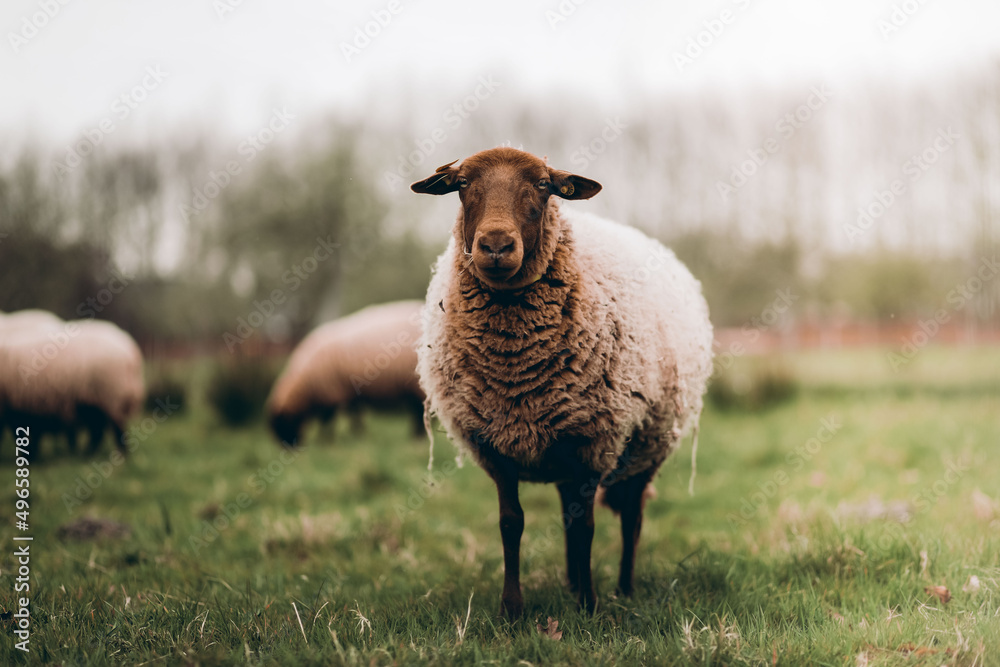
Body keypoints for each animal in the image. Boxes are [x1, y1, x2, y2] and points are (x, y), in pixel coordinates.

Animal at [267, 300, 426, 448]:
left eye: (282, 424)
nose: (289, 449)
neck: (306, 383)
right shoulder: (350, 393)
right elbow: (354, 417)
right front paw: (359, 437)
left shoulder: (329, 393)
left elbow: (327, 421)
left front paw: (326, 442)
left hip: (417, 384)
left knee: (419, 411)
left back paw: (418, 439)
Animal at [411, 147, 713, 617]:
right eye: (461, 184)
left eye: (542, 185)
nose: (495, 246)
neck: (514, 366)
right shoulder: (495, 446)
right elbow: (511, 523)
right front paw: (512, 610)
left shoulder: (592, 440)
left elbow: (587, 525)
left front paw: (589, 607)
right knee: (570, 515)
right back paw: (572, 582)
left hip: (647, 442)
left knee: (630, 516)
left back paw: (622, 588)